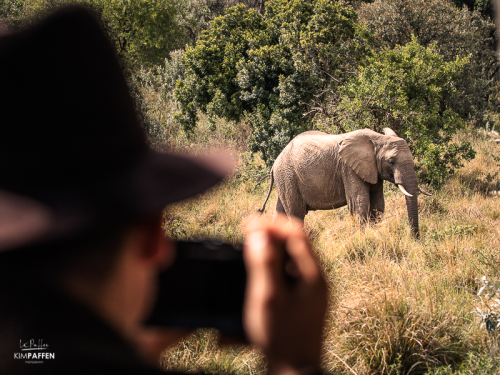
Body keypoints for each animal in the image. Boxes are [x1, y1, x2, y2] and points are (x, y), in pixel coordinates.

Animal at [256, 128, 432, 236]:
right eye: (391, 161)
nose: (415, 239)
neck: (377, 138)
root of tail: (274, 163)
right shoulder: (348, 168)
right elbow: (359, 202)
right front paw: (363, 238)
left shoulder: (372, 169)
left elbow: (378, 203)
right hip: (288, 176)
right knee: (296, 213)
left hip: (286, 179)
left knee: (281, 212)